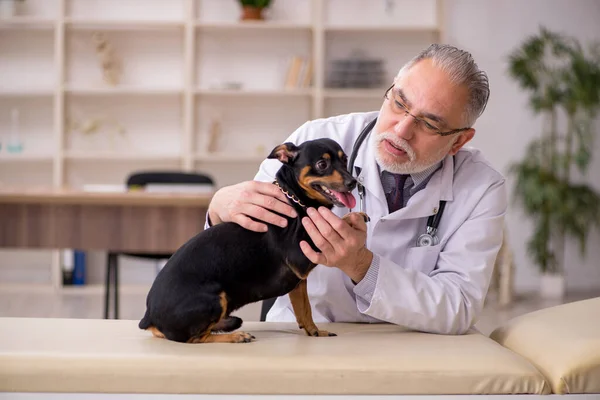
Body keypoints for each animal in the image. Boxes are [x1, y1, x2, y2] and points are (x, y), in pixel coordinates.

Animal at [141, 138, 366, 344]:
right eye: (322, 164)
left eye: (345, 159)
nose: (353, 182)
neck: (294, 199)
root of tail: (148, 316)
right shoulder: (301, 259)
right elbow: (335, 221)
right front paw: (354, 216)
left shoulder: (298, 282)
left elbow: (305, 309)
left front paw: (315, 332)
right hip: (215, 298)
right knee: (196, 338)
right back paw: (235, 336)